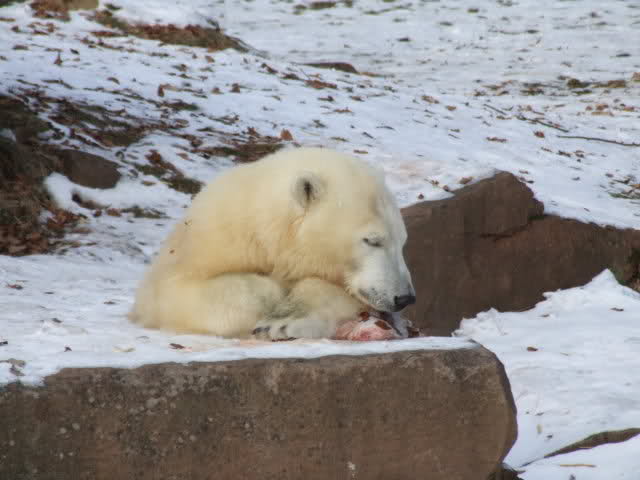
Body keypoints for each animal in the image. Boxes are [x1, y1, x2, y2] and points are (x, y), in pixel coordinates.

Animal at [130, 147, 415, 340]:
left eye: (402, 241)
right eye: (372, 240)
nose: (404, 297)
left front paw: (283, 320)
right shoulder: (209, 241)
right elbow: (176, 292)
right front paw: (274, 298)